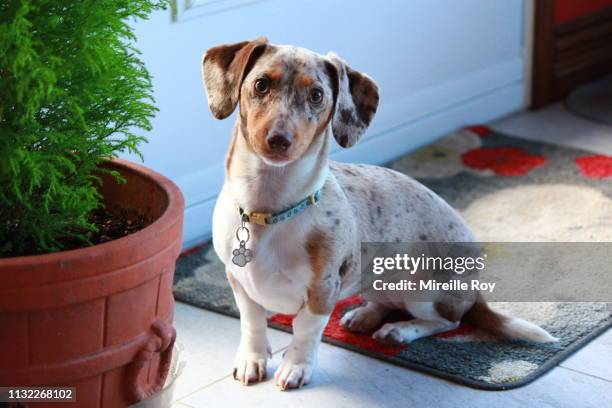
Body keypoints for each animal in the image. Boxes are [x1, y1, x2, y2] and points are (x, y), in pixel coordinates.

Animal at [201, 39, 556, 392]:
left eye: (316, 95)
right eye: (261, 84)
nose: (278, 140)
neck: (269, 209)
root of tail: (475, 289)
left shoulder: (322, 291)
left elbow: (305, 332)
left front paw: (295, 367)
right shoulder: (240, 283)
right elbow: (253, 324)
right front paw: (253, 359)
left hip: (422, 289)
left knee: (446, 321)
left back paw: (400, 330)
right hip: (374, 278)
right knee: (387, 303)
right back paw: (364, 316)